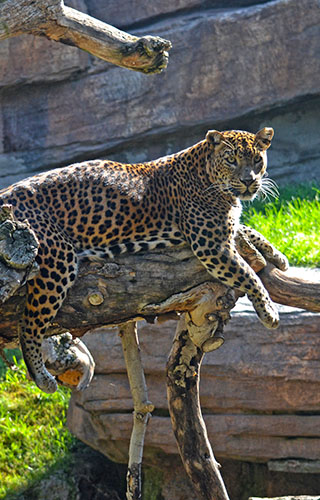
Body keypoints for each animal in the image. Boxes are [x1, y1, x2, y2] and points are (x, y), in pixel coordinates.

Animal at [0, 127, 288, 392]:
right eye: (231, 160)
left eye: (257, 160)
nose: (249, 180)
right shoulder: (212, 246)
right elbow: (248, 274)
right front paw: (269, 312)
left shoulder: (222, 232)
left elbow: (246, 229)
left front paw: (277, 254)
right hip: (58, 259)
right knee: (29, 324)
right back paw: (42, 377)